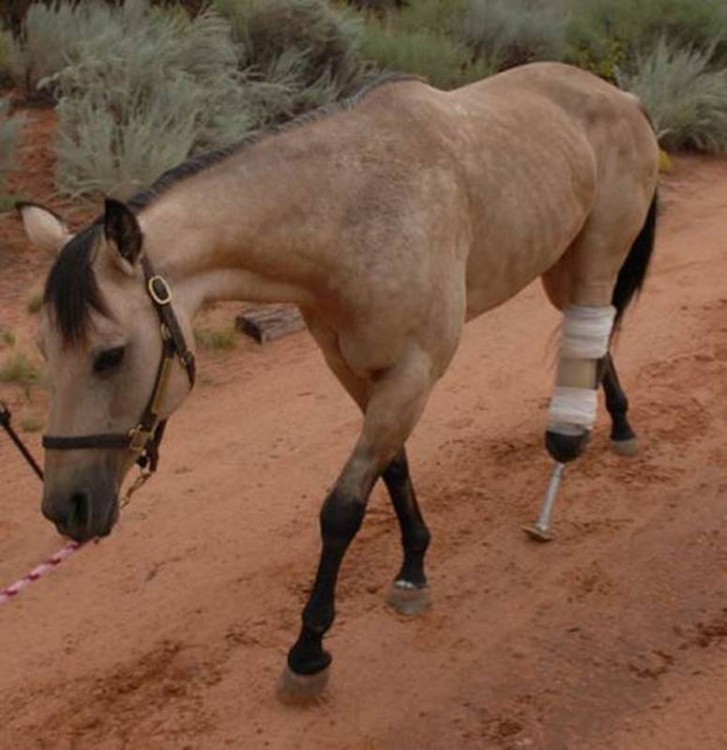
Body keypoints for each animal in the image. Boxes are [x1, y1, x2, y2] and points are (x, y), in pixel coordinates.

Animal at [18, 61, 660, 704]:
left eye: (110, 355)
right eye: (47, 350)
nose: (64, 508)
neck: (349, 216)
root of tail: (622, 95)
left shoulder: (412, 373)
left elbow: (343, 509)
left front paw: (309, 650)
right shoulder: (353, 369)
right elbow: (394, 471)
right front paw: (413, 570)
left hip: (594, 258)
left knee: (593, 327)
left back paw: (581, 443)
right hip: (560, 263)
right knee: (594, 339)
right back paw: (611, 426)